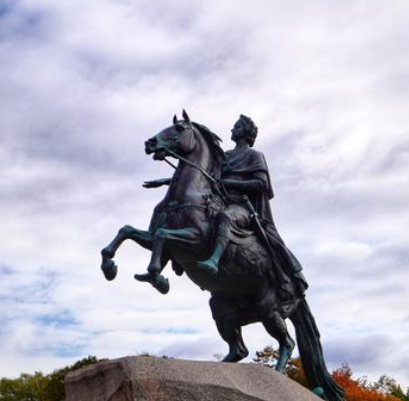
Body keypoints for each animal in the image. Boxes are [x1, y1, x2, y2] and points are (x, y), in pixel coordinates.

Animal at [100, 110, 342, 400]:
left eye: (179, 129)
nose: (150, 143)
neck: (188, 194)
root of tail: (300, 290)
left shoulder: (193, 240)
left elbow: (162, 237)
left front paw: (157, 277)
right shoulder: (156, 239)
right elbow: (127, 231)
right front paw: (109, 266)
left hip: (269, 309)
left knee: (287, 342)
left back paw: (278, 374)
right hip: (222, 310)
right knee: (239, 350)